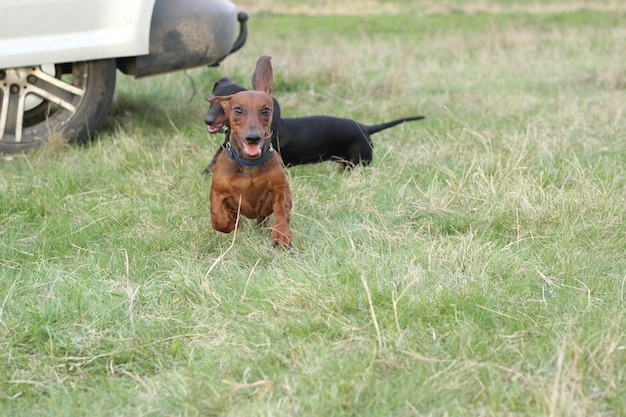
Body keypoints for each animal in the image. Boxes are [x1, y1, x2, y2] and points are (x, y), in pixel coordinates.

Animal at [206, 55, 292, 247]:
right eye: (238, 109)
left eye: (265, 110)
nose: (253, 138)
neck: (249, 165)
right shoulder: (218, 192)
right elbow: (218, 217)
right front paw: (228, 224)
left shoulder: (280, 188)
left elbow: (282, 209)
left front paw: (281, 234)